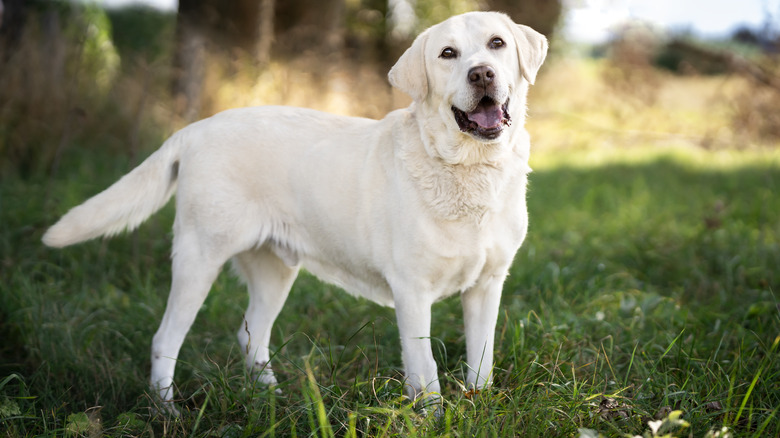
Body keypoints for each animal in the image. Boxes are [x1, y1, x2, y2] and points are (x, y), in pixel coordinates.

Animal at [42, 12, 548, 412]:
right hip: (198, 259)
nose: (481, 74)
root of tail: (194, 129)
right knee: (165, 339)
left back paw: (270, 399)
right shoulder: (412, 292)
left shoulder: (487, 286)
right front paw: (434, 418)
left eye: (497, 44)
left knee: (251, 336)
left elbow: (481, 362)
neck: (469, 171)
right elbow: (425, 371)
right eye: (447, 54)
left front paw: (478, 408)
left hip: (275, 270)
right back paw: (167, 411)